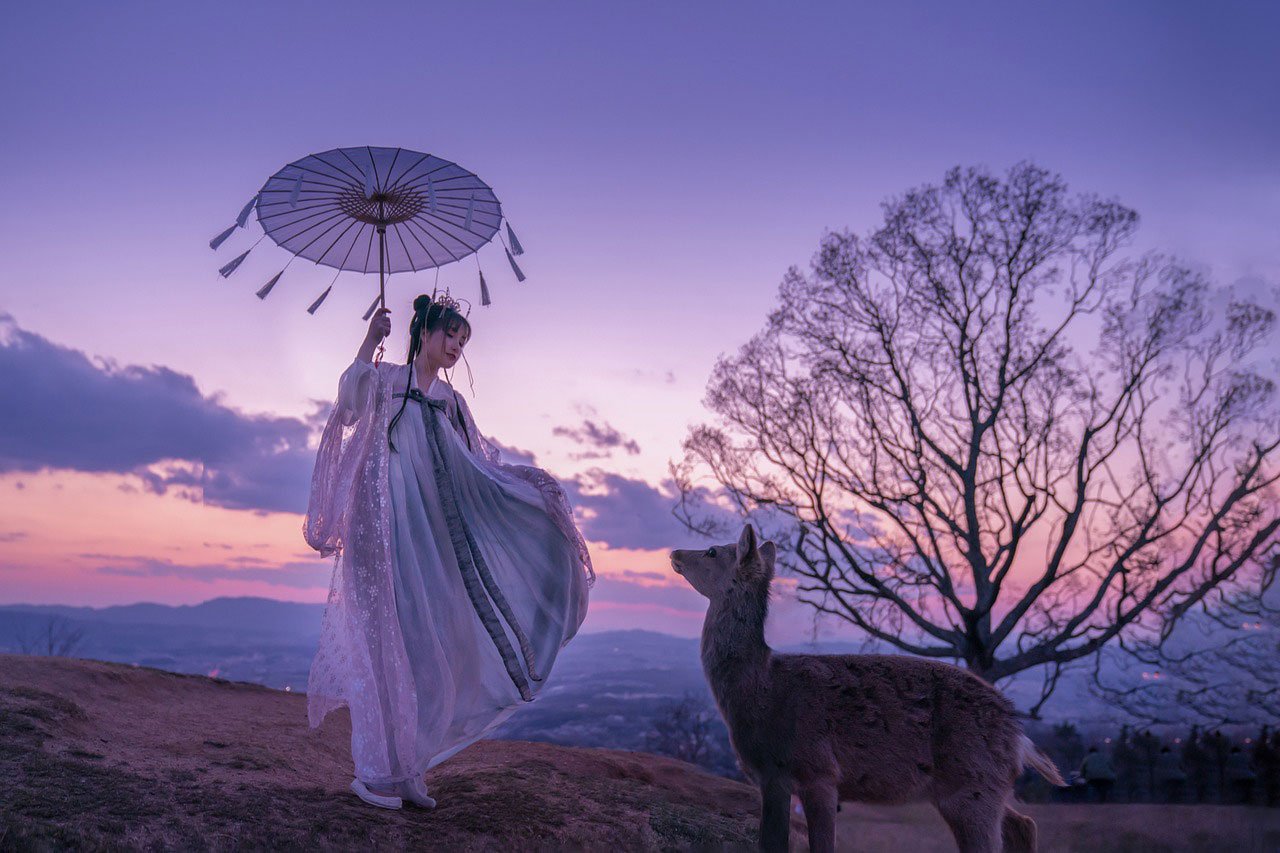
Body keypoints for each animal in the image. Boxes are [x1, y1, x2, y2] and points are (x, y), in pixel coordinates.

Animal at [665, 522, 1064, 845]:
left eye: (713, 551)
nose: (674, 553)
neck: (759, 688)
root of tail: (1019, 735)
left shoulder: (817, 769)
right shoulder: (772, 778)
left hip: (971, 783)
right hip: (980, 785)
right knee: (1023, 823)